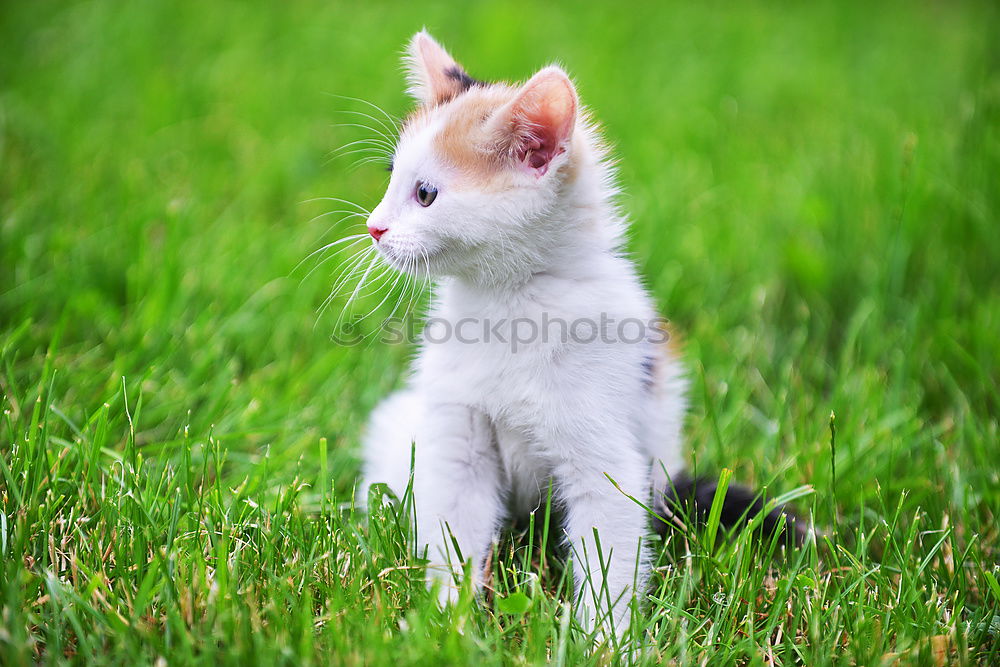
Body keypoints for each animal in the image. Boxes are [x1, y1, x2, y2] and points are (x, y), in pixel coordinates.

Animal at [356, 32, 800, 636]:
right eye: (391, 178)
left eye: (424, 193)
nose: (374, 227)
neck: (509, 300)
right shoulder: (457, 435)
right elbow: (454, 524)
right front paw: (448, 620)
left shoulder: (607, 455)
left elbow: (608, 547)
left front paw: (605, 639)